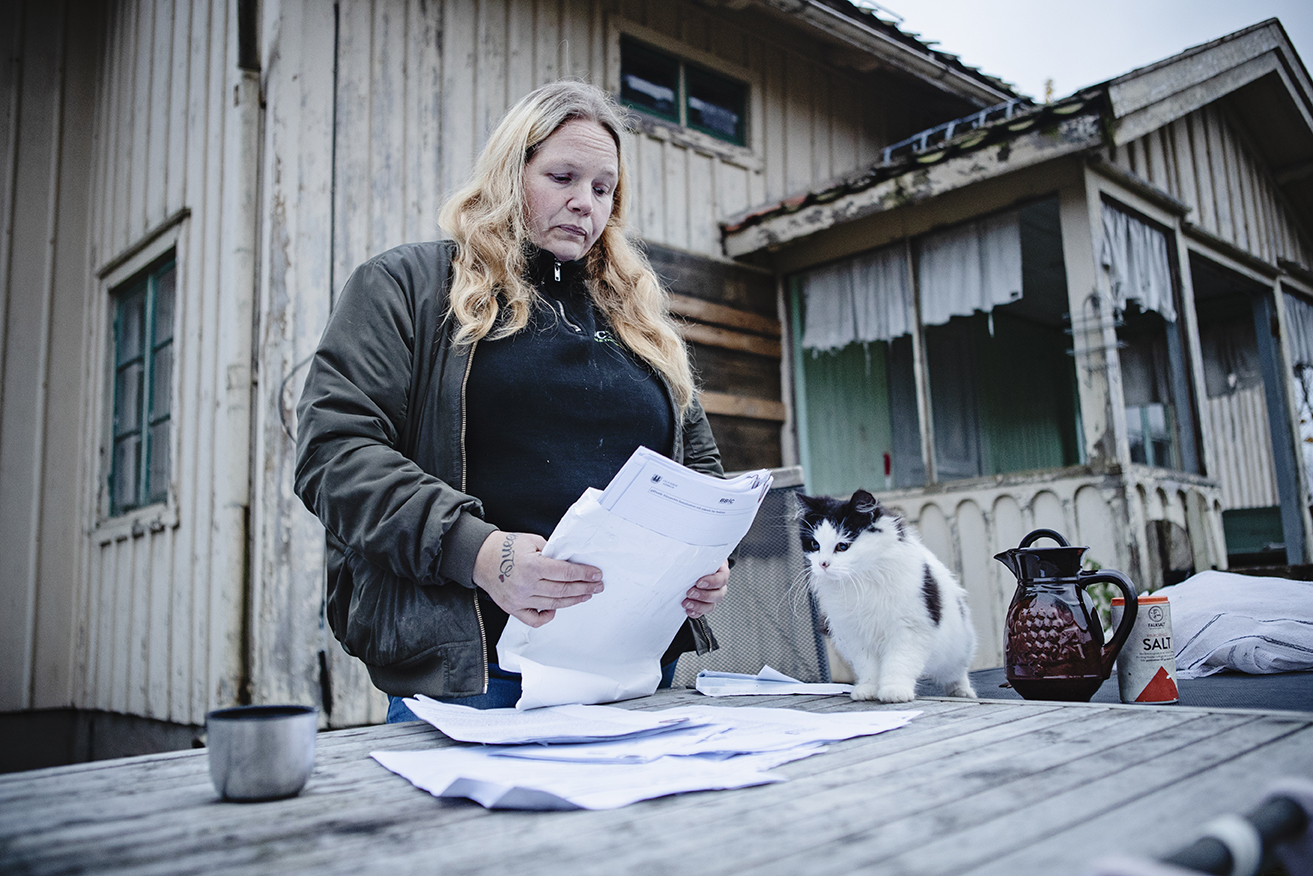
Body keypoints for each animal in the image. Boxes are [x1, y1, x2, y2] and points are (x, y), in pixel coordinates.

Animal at [793, 491, 982, 703]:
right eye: (814, 545)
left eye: (842, 546)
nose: (823, 564)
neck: (861, 581)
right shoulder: (855, 635)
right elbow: (868, 668)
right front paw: (868, 690)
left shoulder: (908, 630)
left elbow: (898, 663)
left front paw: (894, 691)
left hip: (957, 648)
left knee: (956, 674)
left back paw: (962, 692)